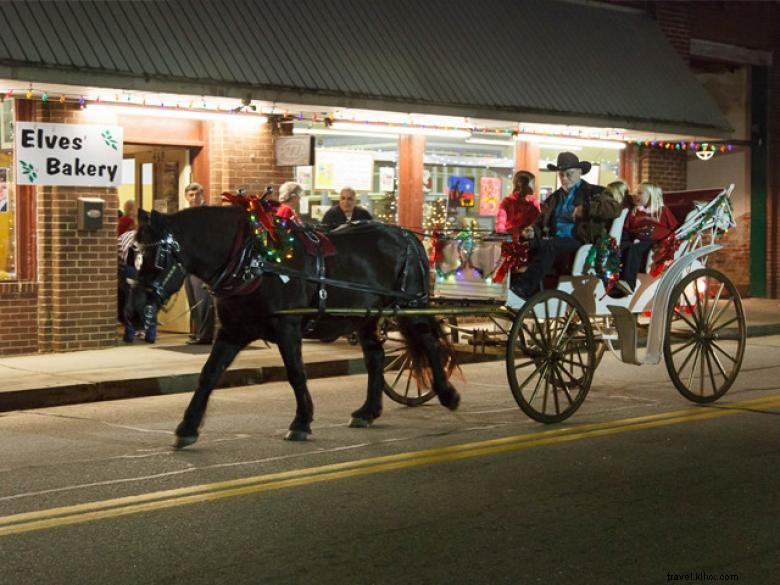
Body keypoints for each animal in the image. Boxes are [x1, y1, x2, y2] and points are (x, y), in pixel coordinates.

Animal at [127, 202, 458, 448]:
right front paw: (188, 426)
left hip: (409, 308)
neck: (255, 260)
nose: (133, 312)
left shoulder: (288, 327)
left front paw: (301, 422)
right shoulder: (233, 331)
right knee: (376, 357)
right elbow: (209, 374)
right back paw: (368, 411)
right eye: (136, 252)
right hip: (364, 316)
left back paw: (447, 395)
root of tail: (407, 236)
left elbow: (296, 374)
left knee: (429, 344)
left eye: (157, 255)